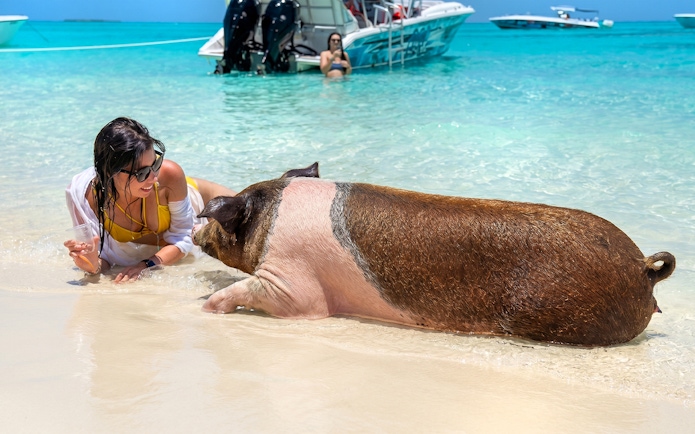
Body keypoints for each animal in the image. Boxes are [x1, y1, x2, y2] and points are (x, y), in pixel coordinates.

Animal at [193, 163, 675, 346]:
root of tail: (643, 267)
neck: (271, 218)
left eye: (222, 218)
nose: (197, 225)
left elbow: (260, 291)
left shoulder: (294, 286)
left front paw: (206, 307)